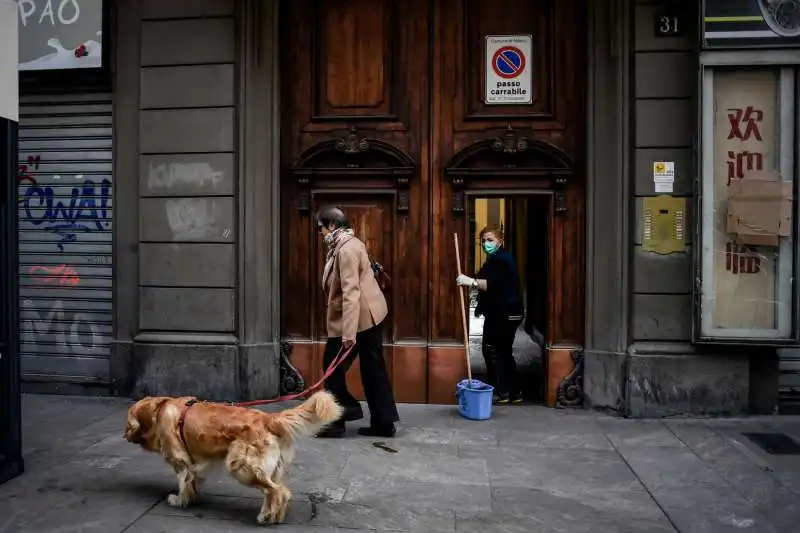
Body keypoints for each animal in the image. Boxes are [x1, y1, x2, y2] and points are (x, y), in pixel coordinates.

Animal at [123, 388, 342, 520]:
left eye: (128, 423)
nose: (125, 435)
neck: (159, 409)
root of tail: (268, 418)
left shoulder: (180, 460)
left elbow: (183, 482)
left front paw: (179, 500)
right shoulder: (194, 464)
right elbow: (192, 481)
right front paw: (191, 496)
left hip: (243, 467)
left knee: (278, 491)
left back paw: (266, 517)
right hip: (271, 469)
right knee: (275, 492)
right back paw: (273, 515)